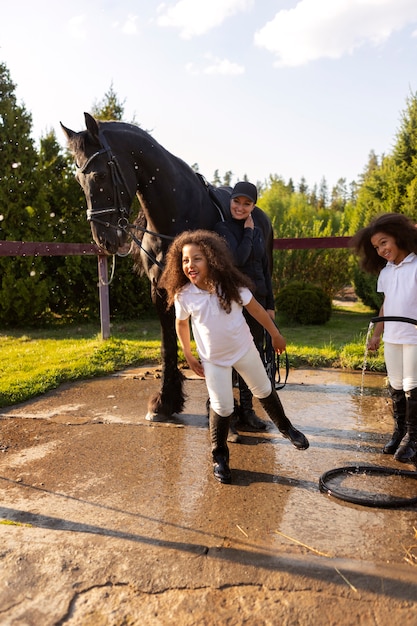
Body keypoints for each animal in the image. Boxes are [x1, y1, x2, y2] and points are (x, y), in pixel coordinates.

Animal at [60, 112, 272, 420]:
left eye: (99, 175)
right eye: (77, 178)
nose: (105, 239)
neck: (174, 218)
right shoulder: (160, 291)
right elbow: (169, 344)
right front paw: (165, 402)